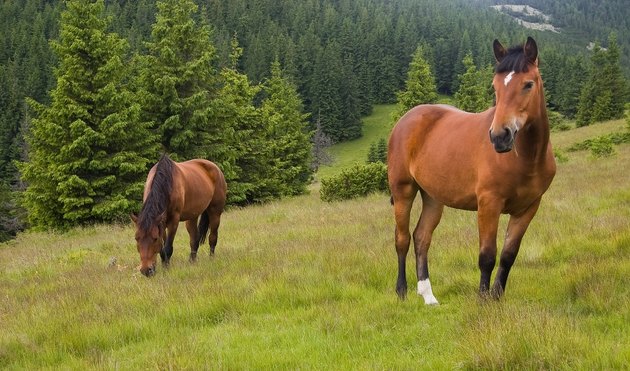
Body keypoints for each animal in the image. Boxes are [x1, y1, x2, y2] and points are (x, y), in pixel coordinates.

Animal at [390, 37, 556, 306]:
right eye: (495, 86)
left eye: (528, 84)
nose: (500, 137)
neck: (526, 159)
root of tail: (406, 119)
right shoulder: (489, 204)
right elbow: (487, 255)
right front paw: (483, 300)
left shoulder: (529, 208)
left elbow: (508, 255)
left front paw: (497, 297)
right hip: (403, 191)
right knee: (402, 239)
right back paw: (402, 291)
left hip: (433, 197)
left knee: (422, 238)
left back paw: (428, 295)